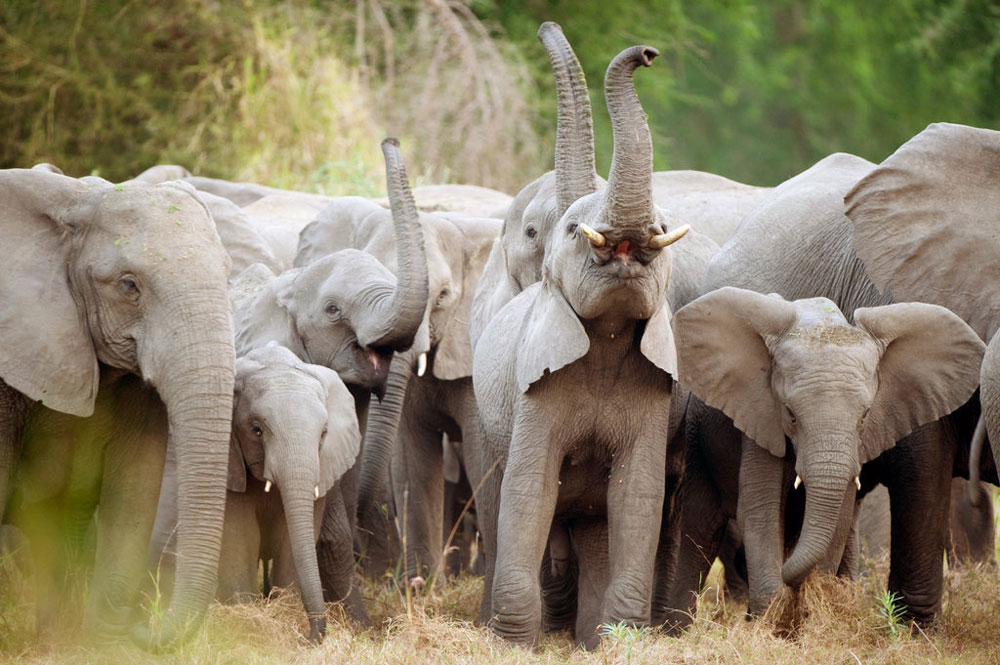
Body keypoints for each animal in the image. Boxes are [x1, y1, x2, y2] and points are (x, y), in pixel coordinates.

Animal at [221, 344, 362, 640]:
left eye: (324, 433)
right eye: (256, 429)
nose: (309, 636)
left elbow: (288, 538)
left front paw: (283, 613)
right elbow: (242, 536)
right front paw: (245, 620)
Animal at [472, 42, 692, 648]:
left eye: (663, 224)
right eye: (573, 231)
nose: (647, 53)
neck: (606, 337)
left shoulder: (654, 394)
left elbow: (636, 496)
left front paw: (622, 642)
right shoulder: (534, 388)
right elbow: (529, 488)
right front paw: (513, 644)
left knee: (596, 525)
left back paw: (593, 633)